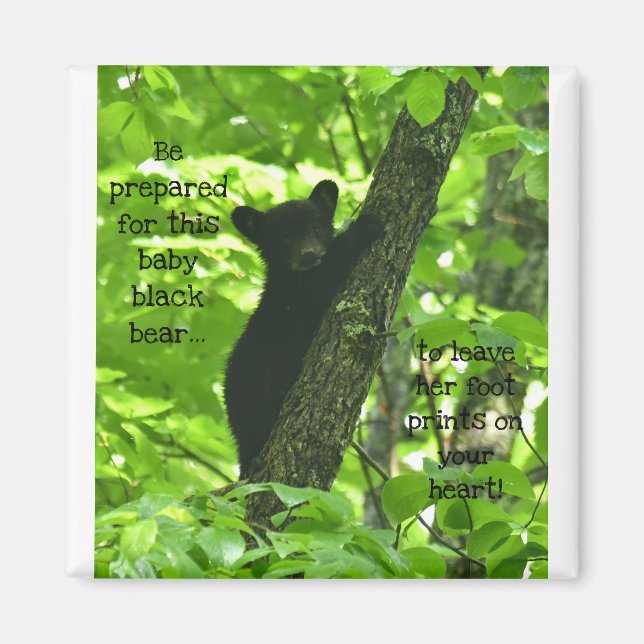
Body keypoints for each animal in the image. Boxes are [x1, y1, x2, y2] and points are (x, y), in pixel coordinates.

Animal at [224, 179, 382, 478]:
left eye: (315, 228)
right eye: (284, 238)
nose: (308, 254)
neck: (291, 276)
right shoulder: (297, 294)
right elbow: (324, 278)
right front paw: (364, 226)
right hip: (253, 392)